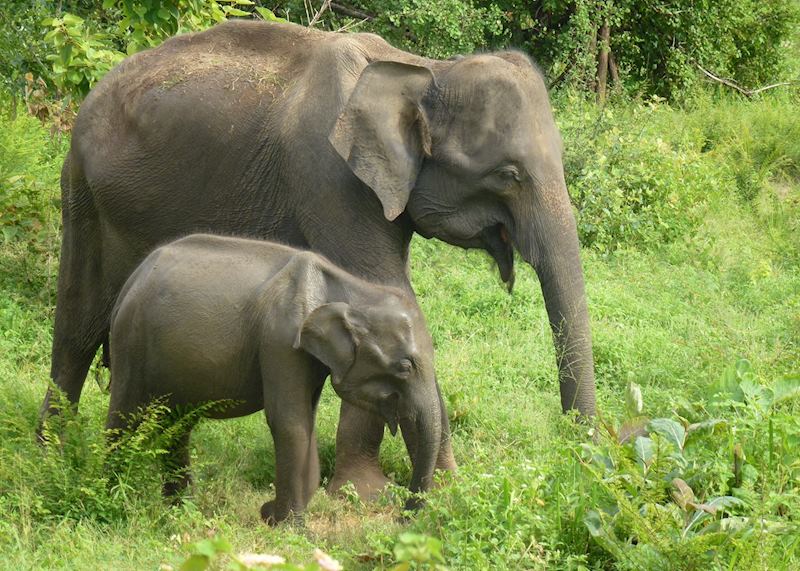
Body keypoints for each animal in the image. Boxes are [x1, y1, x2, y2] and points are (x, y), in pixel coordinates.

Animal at [108, 234, 442, 524]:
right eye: (404, 366)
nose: (401, 518)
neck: (350, 287)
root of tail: (131, 280)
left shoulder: (308, 356)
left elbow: (307, 419)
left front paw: (277, 515)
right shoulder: (280, 341)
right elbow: (290, 422)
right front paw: (290, 526)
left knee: (177, 425)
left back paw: (180, 510)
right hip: (131, 342)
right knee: (124, 416)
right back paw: (113, 500)